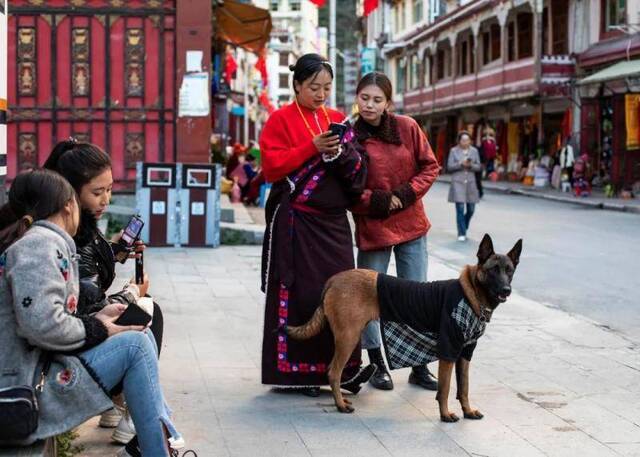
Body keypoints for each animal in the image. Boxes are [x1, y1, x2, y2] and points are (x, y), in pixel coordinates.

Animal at [284, 233, 520, 422]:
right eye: (493, 271)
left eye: (509, 271)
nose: (506, 290)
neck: (471, 294)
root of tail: (334, 280)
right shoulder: (448, 352)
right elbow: (445, 389)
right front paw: (445, 415)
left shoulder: (464, 354)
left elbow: (464, 387)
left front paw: (468, 411)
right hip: (348, 338)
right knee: (333, 372)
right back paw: (340, 405)